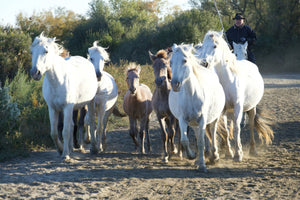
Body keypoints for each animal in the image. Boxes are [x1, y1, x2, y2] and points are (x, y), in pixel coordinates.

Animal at [29, 32, 97, 161]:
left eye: (46, 51)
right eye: (32, 52)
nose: (35, 73)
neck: (58, 81)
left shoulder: (67, 107)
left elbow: (65, 131)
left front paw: (65, 154)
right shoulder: (53, 108)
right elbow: (55, 132)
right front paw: (60, 150)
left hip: (86, 104)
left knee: (86, 123)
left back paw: (87, 147)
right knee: (71, 125)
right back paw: (70, 148)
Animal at [169, 43, 225, 172]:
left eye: (184, 60)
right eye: (171, 62)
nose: (174, 84)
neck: (192, 94)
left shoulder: (203, 119)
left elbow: (201, 142)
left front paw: (202, 166)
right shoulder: (182, 120)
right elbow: (185, 140)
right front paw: (192, 155)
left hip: (213, 118)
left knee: (212, 132)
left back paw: (215, 156)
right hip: (194, 123)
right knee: (198, 133)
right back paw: (198, 159)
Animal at [196, 30, 274, 162]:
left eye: (215, 46)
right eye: (202, 46)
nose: (203, 63)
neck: (228, 79)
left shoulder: (238, 107)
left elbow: (237, 128)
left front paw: (238, 154)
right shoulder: (222, 110)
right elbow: (226, 130)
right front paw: (229, 153)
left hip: (251, 108)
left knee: (251, 125)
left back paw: (253, 150)